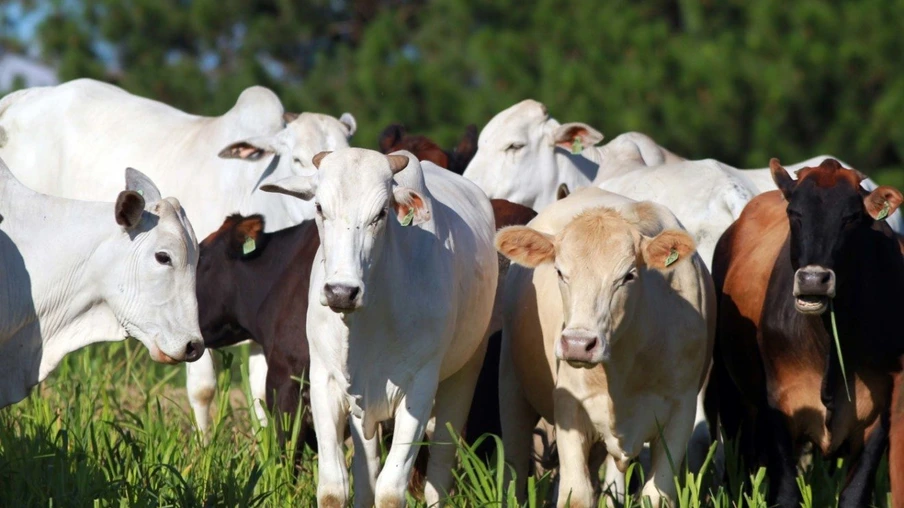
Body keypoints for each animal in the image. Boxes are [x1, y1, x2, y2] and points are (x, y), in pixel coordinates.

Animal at [262, 149, 498, 506]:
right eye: (319, 208)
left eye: (381, 213)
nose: (341, 291)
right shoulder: (325, 382)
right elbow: (334, 487)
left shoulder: (419, 388)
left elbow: (390, 490)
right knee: (366, 469)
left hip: (465, 371)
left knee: (439, 468)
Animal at [494, 188, 712, 508]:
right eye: (560, 272)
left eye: (628, 276)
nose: (578, 344)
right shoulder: (569, 407)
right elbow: (576, 495)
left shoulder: (681, 412)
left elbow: (655, 496)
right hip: (511, 385)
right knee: (516, 467)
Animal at [708, 160, 900, 508]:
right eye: (794, 213)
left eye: (851, 217)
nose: (813, 280)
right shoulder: (781, 405)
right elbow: (785, 493)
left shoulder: (880, 411)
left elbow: (854, 495)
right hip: (731, 395)